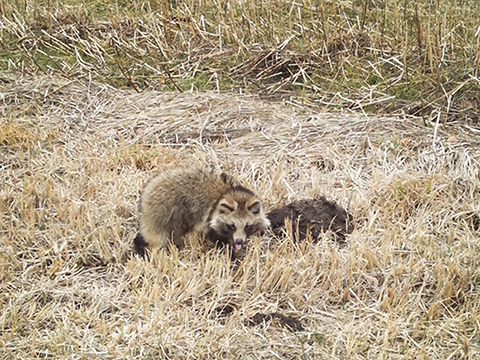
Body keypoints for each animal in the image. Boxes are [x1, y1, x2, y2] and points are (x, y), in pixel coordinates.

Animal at [135, 167, 270, 258]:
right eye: (232, 225)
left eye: (247, 226)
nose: (239, 241)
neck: (227, 194)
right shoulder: (208, 222)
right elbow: (217, 240)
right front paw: (230, 254)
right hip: (161, 214)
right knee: (158, 237)